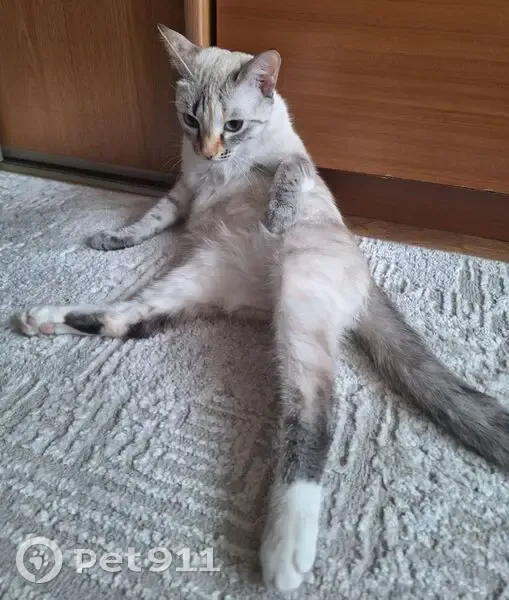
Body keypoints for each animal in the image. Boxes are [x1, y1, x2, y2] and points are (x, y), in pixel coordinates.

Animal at [16, 26, 509, 592]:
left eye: (233, 125)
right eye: (191, 121)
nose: (209, 152)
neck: (219, 168)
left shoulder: (300, 162)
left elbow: (289, 169)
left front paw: (277, 213)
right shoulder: (183, 189)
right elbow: (150, 219)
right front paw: (113, 238)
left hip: (300, 308)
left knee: (315, 412)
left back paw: (286, 549)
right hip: (194, 277)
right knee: (129, 319)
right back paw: (41, 319)